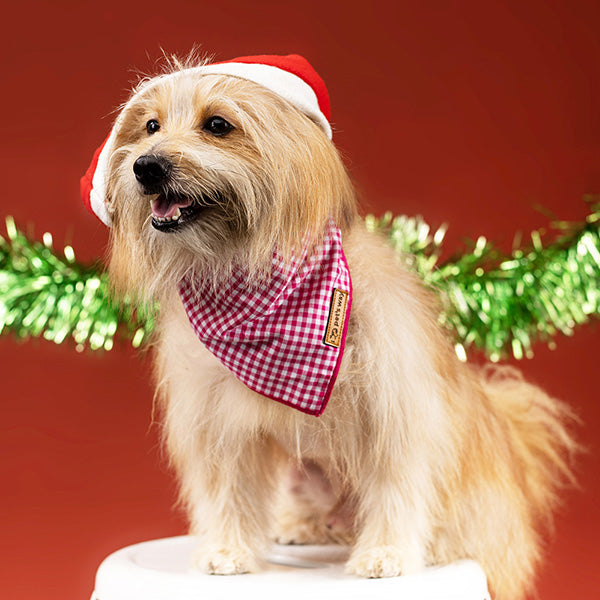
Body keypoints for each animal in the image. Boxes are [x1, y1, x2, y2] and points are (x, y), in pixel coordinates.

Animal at [82, 52, 580, 600]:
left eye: (217, 125)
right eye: (150, 126)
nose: (145, 167)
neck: (259, 287)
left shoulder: (394, 411)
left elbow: (396, 487)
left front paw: (386, 553)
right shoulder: (219, 422)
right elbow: (229, 490)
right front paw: (229, 549)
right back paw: (301, 526)